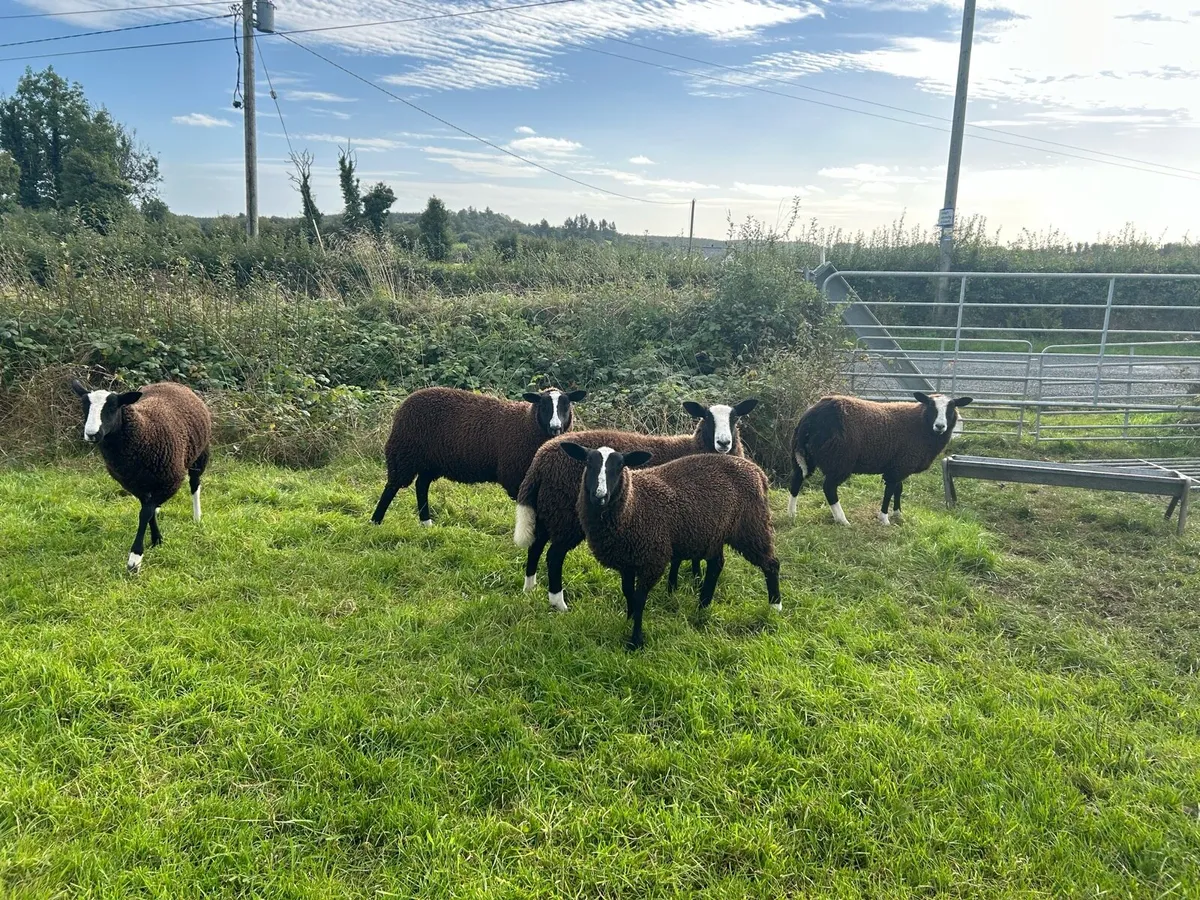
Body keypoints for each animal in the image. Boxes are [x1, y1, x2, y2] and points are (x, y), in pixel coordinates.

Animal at [70, 379, 212, 573]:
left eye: (112, 407)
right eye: (84, 406)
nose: (91, 434)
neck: (144, 430)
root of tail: (170, 382)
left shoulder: (171, 481)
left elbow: (145, 513)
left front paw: (135, 558)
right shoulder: (135, 485)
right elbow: (148, 511)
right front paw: (156, 539)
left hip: (199, 455)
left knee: (195, 485)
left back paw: (197, 517)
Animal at [371, 386, 586, 527]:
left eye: (566, 405)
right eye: (544, 405)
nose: (555, 428)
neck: (526, 423)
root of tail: (409, 399)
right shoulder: (516, 476)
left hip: (430, 461)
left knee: (421, 485)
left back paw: (426, 522)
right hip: (404, 452)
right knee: (392, 486)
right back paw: (375, 521)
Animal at [513, 398, 758, 612]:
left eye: (735, 418)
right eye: (707, 417)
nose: (724, 443)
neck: (692, 447)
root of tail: (541, 457)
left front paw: (688, 581)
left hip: (548, 508)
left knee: (535, 545)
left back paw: (529, 588)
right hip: (566, 515)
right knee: (554, 556)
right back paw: (559, 604)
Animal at [558, 442, 781, 650]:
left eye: (620, 465)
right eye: (588, 462)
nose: (600, 496)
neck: (633, 504)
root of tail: (757, 472)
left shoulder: (652, 559)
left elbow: (639, 599)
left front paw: (636, 640)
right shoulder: (626, 561)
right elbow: (628, 593)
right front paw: (629, 620)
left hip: (751, 526)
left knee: (771, 564)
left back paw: (775, 606)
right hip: (715, 532)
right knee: (716, 565)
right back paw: (703, 606)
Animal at [788, 391, 973, 526]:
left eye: (951, 409)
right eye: (932, 407)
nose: (940, 426)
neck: (921, 425)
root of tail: (810, 417)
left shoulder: (899, 464)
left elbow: (899, 488)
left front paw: (898, 514)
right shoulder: (899, 466)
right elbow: (890, 490)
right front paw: (884, 519)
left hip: (803, 455)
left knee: (796, 480)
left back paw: (792, 514)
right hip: (840, 459)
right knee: (829, 488)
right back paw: (843, 520)